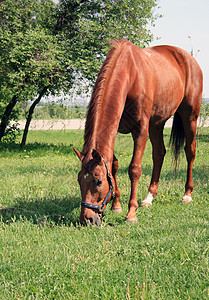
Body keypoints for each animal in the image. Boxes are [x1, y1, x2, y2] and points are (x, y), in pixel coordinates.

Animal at [73, 38, 202, 225]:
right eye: (79, 180)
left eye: (98, 181)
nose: (87, 219)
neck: (130, 75)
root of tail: (188, 58)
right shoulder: (115, 128)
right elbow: (113, 164)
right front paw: (116, 205)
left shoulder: (141, 129)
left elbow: (134, 168)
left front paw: (131, 213)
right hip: (157, 123)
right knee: (159, 154)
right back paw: (149, 197)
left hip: (190, 116)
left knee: (189, 152)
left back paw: (187, 194)